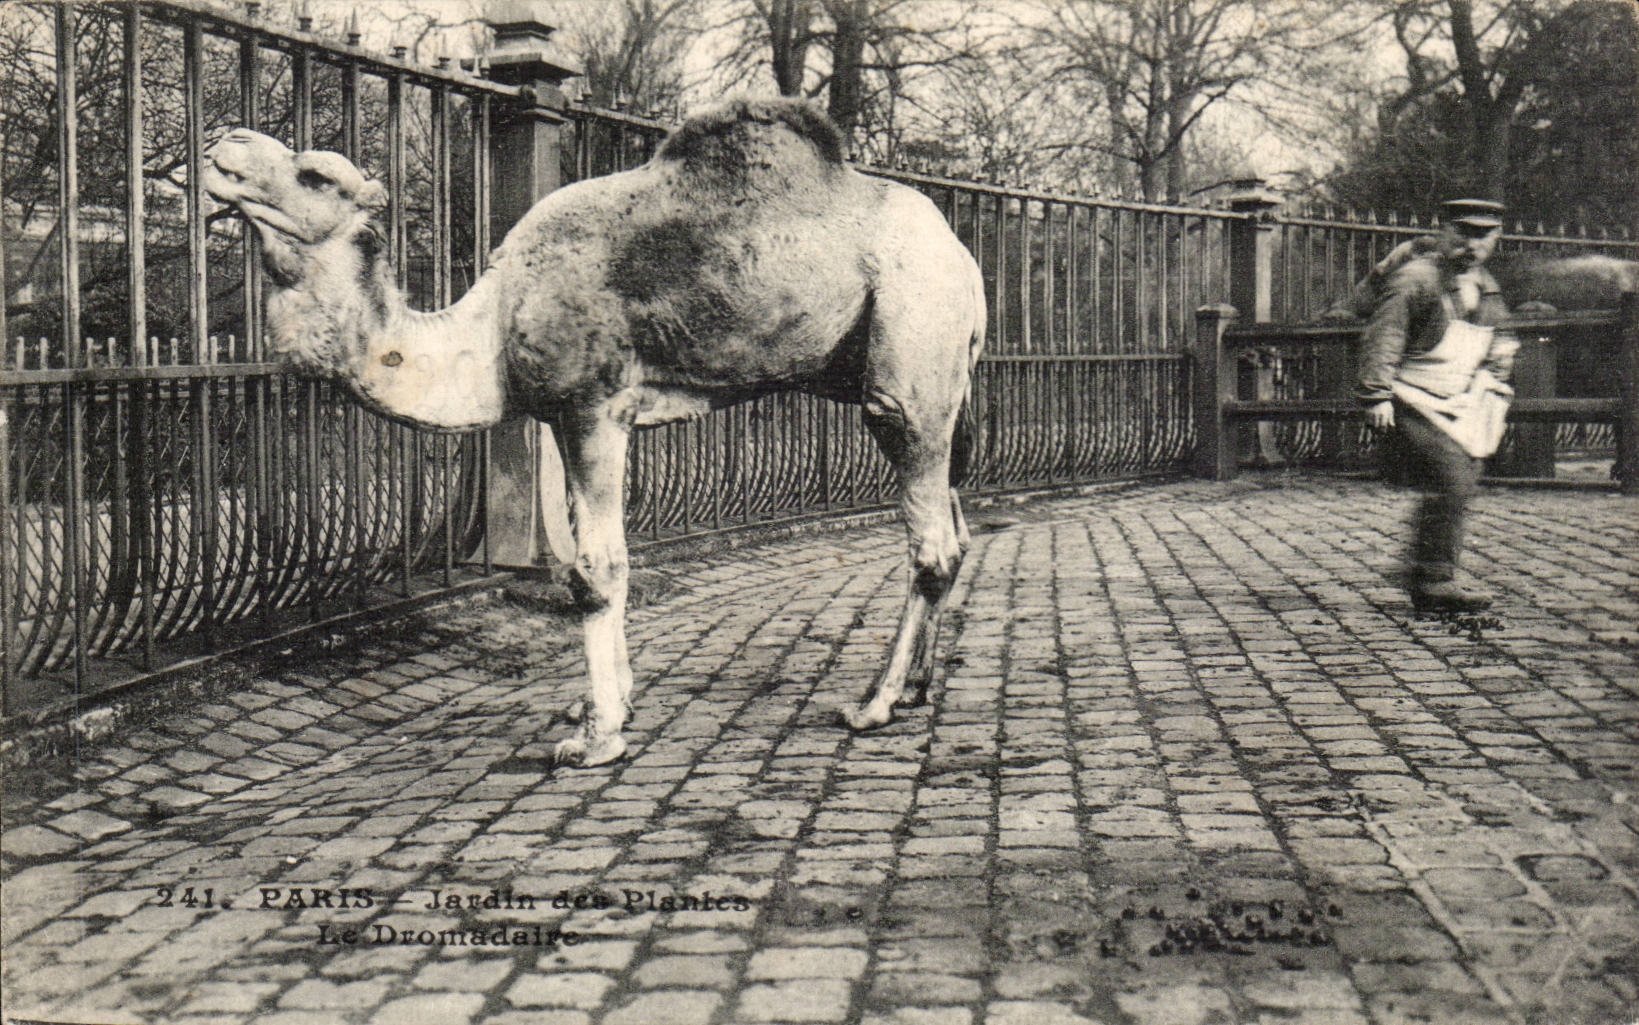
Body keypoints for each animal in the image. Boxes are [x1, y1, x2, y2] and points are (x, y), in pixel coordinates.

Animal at [204, 98, 986, 767]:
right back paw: (917, 686)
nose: (226, 142)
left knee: (930, 537)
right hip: (925, 378)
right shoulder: (561, 415)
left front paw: (599, 735)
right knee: (954, 526)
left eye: (315, 175)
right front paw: (607, 705)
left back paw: (876, 702)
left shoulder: (592, 406)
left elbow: (595, 569)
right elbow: (594, 557)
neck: (488, 330)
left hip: (908, 352)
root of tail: (968, 266)